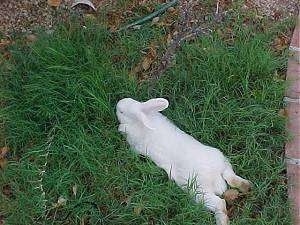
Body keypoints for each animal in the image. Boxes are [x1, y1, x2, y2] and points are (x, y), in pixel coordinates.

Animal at [116, 97, 252, 225]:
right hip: (222, 162)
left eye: (121, 111)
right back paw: (247, 187)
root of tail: (216, 177)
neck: (139, 121)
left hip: (198, 192)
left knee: (220, 203)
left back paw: (222, 221)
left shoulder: (136, 146)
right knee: (232, 178)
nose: (117, 104)